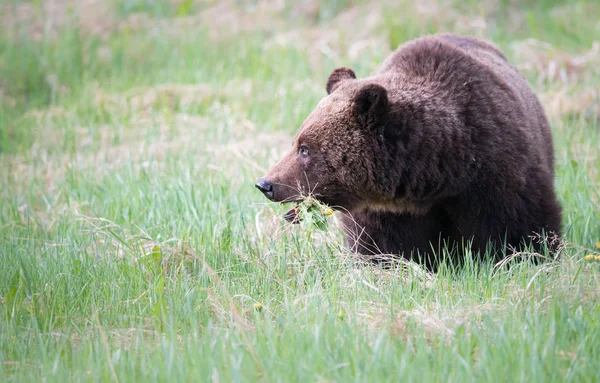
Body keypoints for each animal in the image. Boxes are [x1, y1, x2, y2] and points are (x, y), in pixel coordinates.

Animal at [254, 34, 564, 272]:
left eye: (305, 148)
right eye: (297, 142)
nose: (265, 184)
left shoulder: (498, 173)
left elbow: (521, 226)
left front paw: (525, 260)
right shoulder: (387, 212)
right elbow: (384, 247)